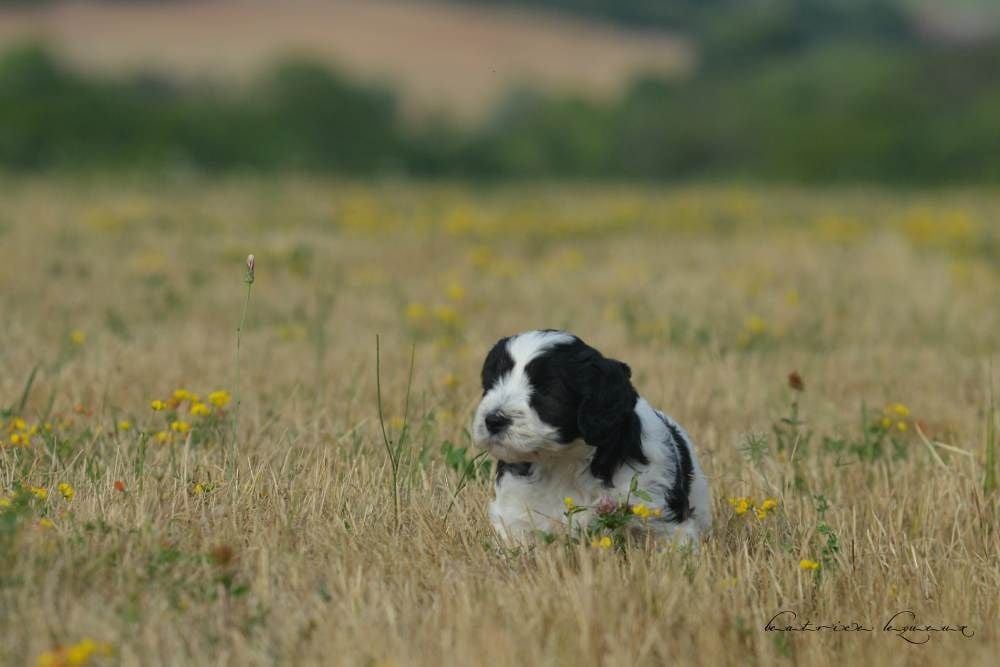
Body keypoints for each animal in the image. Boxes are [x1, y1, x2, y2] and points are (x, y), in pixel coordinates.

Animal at [470, 332, 712, 544]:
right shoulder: (515, 514)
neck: (562, 463)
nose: (493, 420)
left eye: (546, 391)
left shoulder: (661, 514)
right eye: (491, 384)